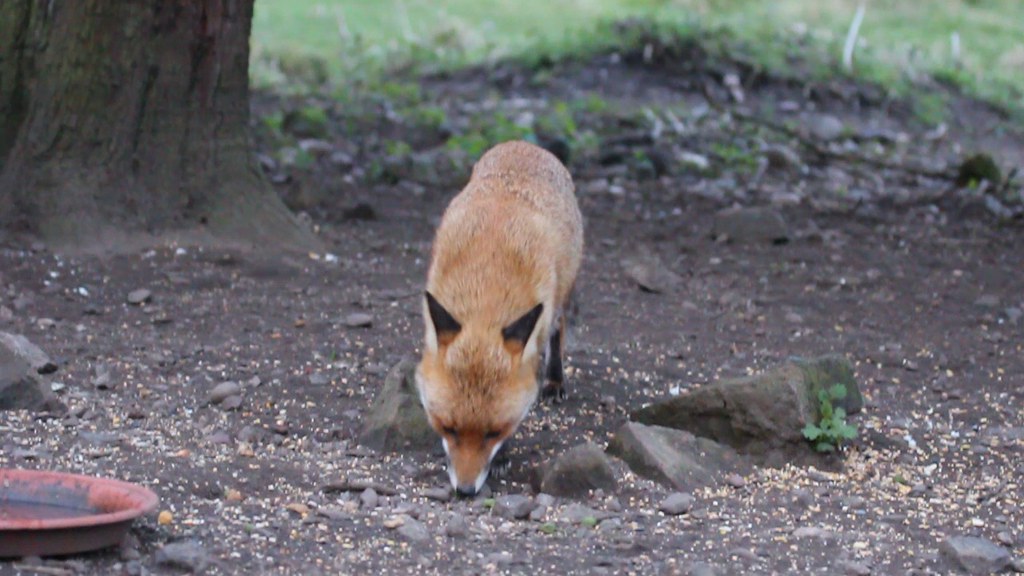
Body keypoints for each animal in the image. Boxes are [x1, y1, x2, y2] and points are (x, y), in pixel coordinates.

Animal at [415, 140, 584, 497]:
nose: (465, 491)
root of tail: (524, 144)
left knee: (558, 333)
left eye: (494, 432)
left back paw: (555, 380)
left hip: (561, 298)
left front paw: (503, 456)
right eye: (448, 427)